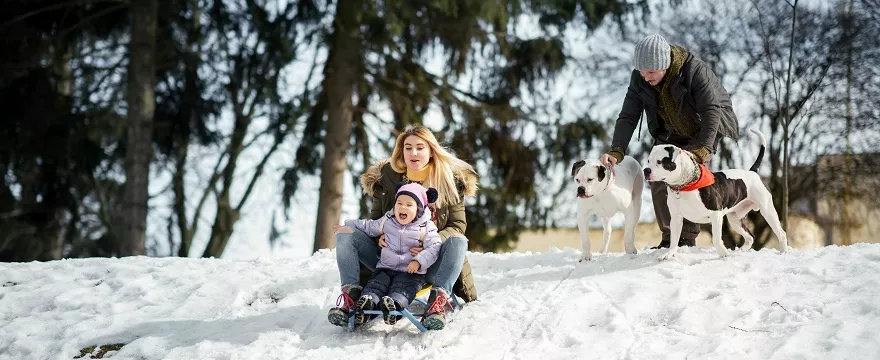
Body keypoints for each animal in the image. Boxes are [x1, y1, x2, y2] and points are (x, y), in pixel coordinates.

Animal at [644, 129, 788, 262]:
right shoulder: (676, 218)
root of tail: (752, 172)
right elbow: (674, 240)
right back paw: (740, 251)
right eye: (648, 160)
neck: (684, 185)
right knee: (750, 237)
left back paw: (783, 252)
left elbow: (717, 239)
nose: (646, 170)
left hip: (767, 210)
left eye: (660, 162)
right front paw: (668, 254)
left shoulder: (716, 214)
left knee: (781, 233)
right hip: (735, 218)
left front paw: (723, 253)